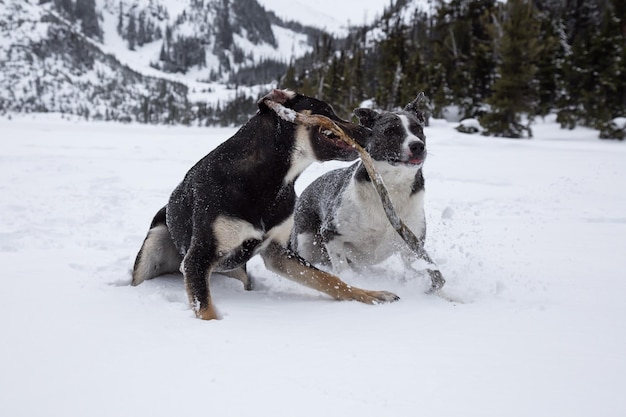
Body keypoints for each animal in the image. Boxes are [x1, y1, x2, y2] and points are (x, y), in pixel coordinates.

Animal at [130, 89, 400, 320]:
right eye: (325, 110)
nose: (370, 133)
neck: (270, 181)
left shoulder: (277, 252)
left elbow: (328, 279)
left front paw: (370, 295)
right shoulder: (198, 258)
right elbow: (205, 309)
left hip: (238, 273)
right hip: (155, 243)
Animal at [288, 93, 438, 284]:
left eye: (418, 129)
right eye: (391, 131)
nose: (418, 146)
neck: (391, 187)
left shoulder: (411, 247)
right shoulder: (331, 233)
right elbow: (342, 268)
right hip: (305, 242)